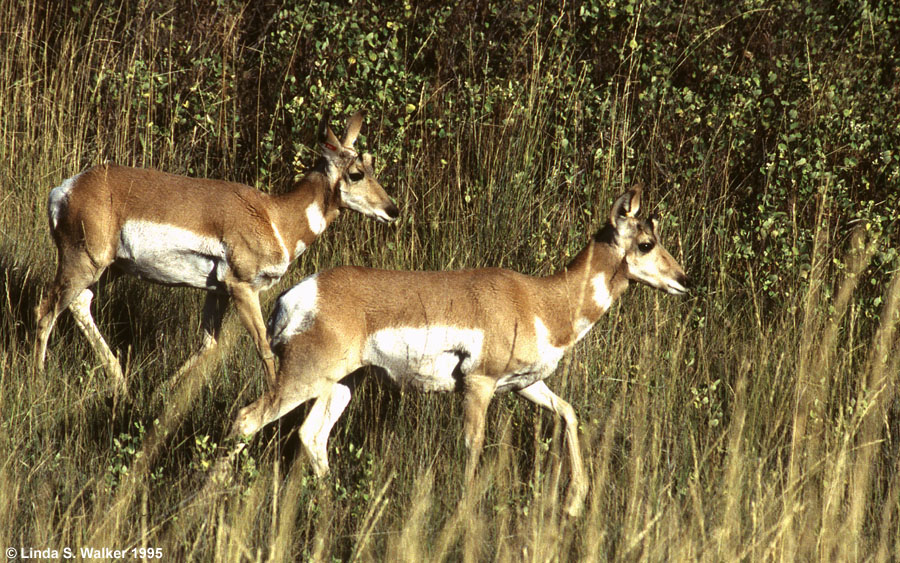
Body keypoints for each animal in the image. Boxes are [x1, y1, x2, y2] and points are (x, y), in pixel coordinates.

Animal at [33, 110, 398, 392]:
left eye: (372, 165)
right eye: (356, 173)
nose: (392, 210)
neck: (273, 216)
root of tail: (66, 188)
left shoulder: (217, 291)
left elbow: (208, 344)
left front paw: (160, 391)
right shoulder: (242, 288)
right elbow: (264, 348)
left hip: (110, 268)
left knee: (79, 303)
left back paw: (120, 381)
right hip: (83, 262)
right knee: (47, 308)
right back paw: (39, 376)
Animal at [229, 184, 684, 516]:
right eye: (646, 243)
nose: (685, 279)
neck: (538, 299)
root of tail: (297, 294)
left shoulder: (524, 386)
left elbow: (569, 413)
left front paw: (574, 503)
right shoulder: (478, 385)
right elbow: (474, 444)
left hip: (339, 383)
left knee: (312, 435)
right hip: (302, 378)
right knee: (248, 419)